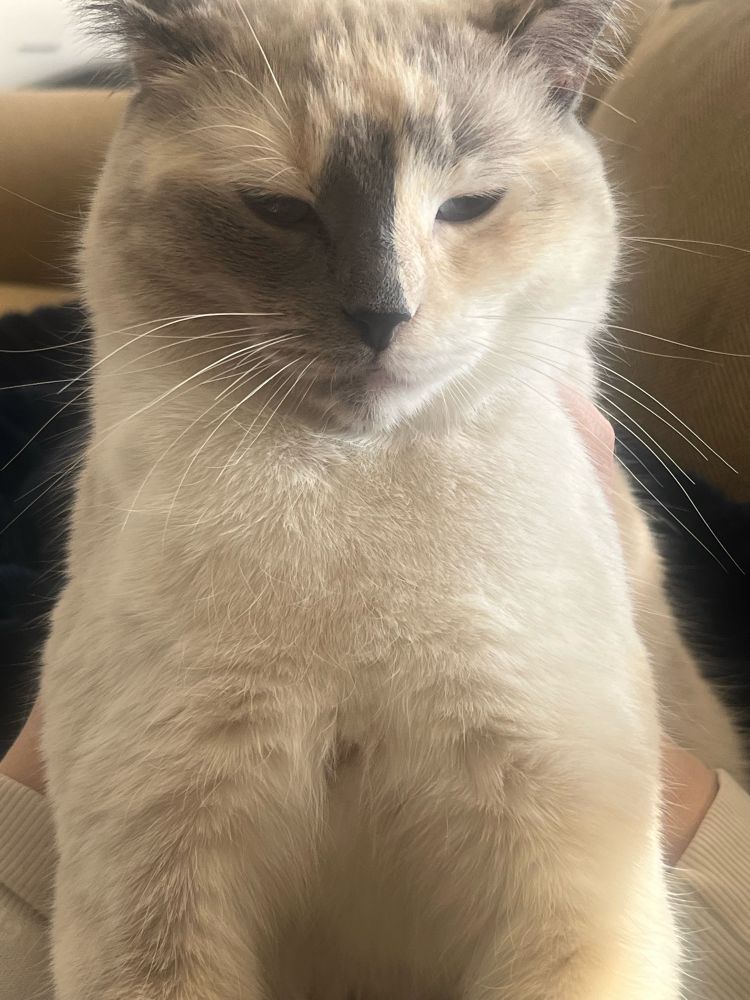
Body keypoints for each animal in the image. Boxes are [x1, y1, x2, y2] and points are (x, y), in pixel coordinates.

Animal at [41, 1, 744, 999]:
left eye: (466, 207)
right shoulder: (157, 865)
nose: (384, 316)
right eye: (277, 208)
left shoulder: (562, 856)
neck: (349, 484)